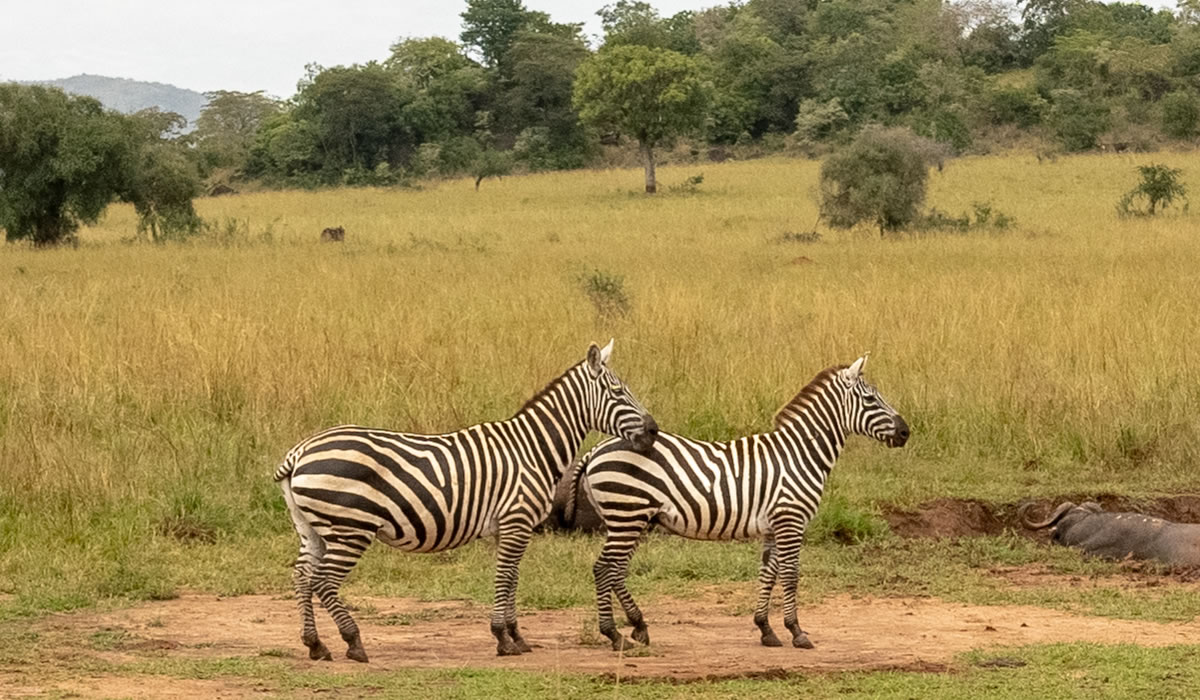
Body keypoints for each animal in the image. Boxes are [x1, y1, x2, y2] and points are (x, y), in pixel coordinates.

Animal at [274, 343, 657, 667]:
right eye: (620, 392)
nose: (654, 430)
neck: (532, 449)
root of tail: (300, 452)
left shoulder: (511, 528)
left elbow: (513, 578)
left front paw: (516, 636)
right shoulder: (516, 520)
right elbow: (505, 576)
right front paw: (502, 638)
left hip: (313, 529)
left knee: (302, 577)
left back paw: (316, 645)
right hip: (349, 529)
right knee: (323, 582)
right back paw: (353, 642)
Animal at [561, 355, 907, 653]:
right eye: (871, 399)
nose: (906, 431)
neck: (798, 454)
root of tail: (596, 449)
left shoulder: (773, 526)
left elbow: (768, 572)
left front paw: (766, 629)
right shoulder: (791, 520)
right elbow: (791, 574)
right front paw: (797, 632)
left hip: (632, 519)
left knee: (616, 570)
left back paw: (639, 627)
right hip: (627, 515)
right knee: (604, 568)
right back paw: (613, 634)